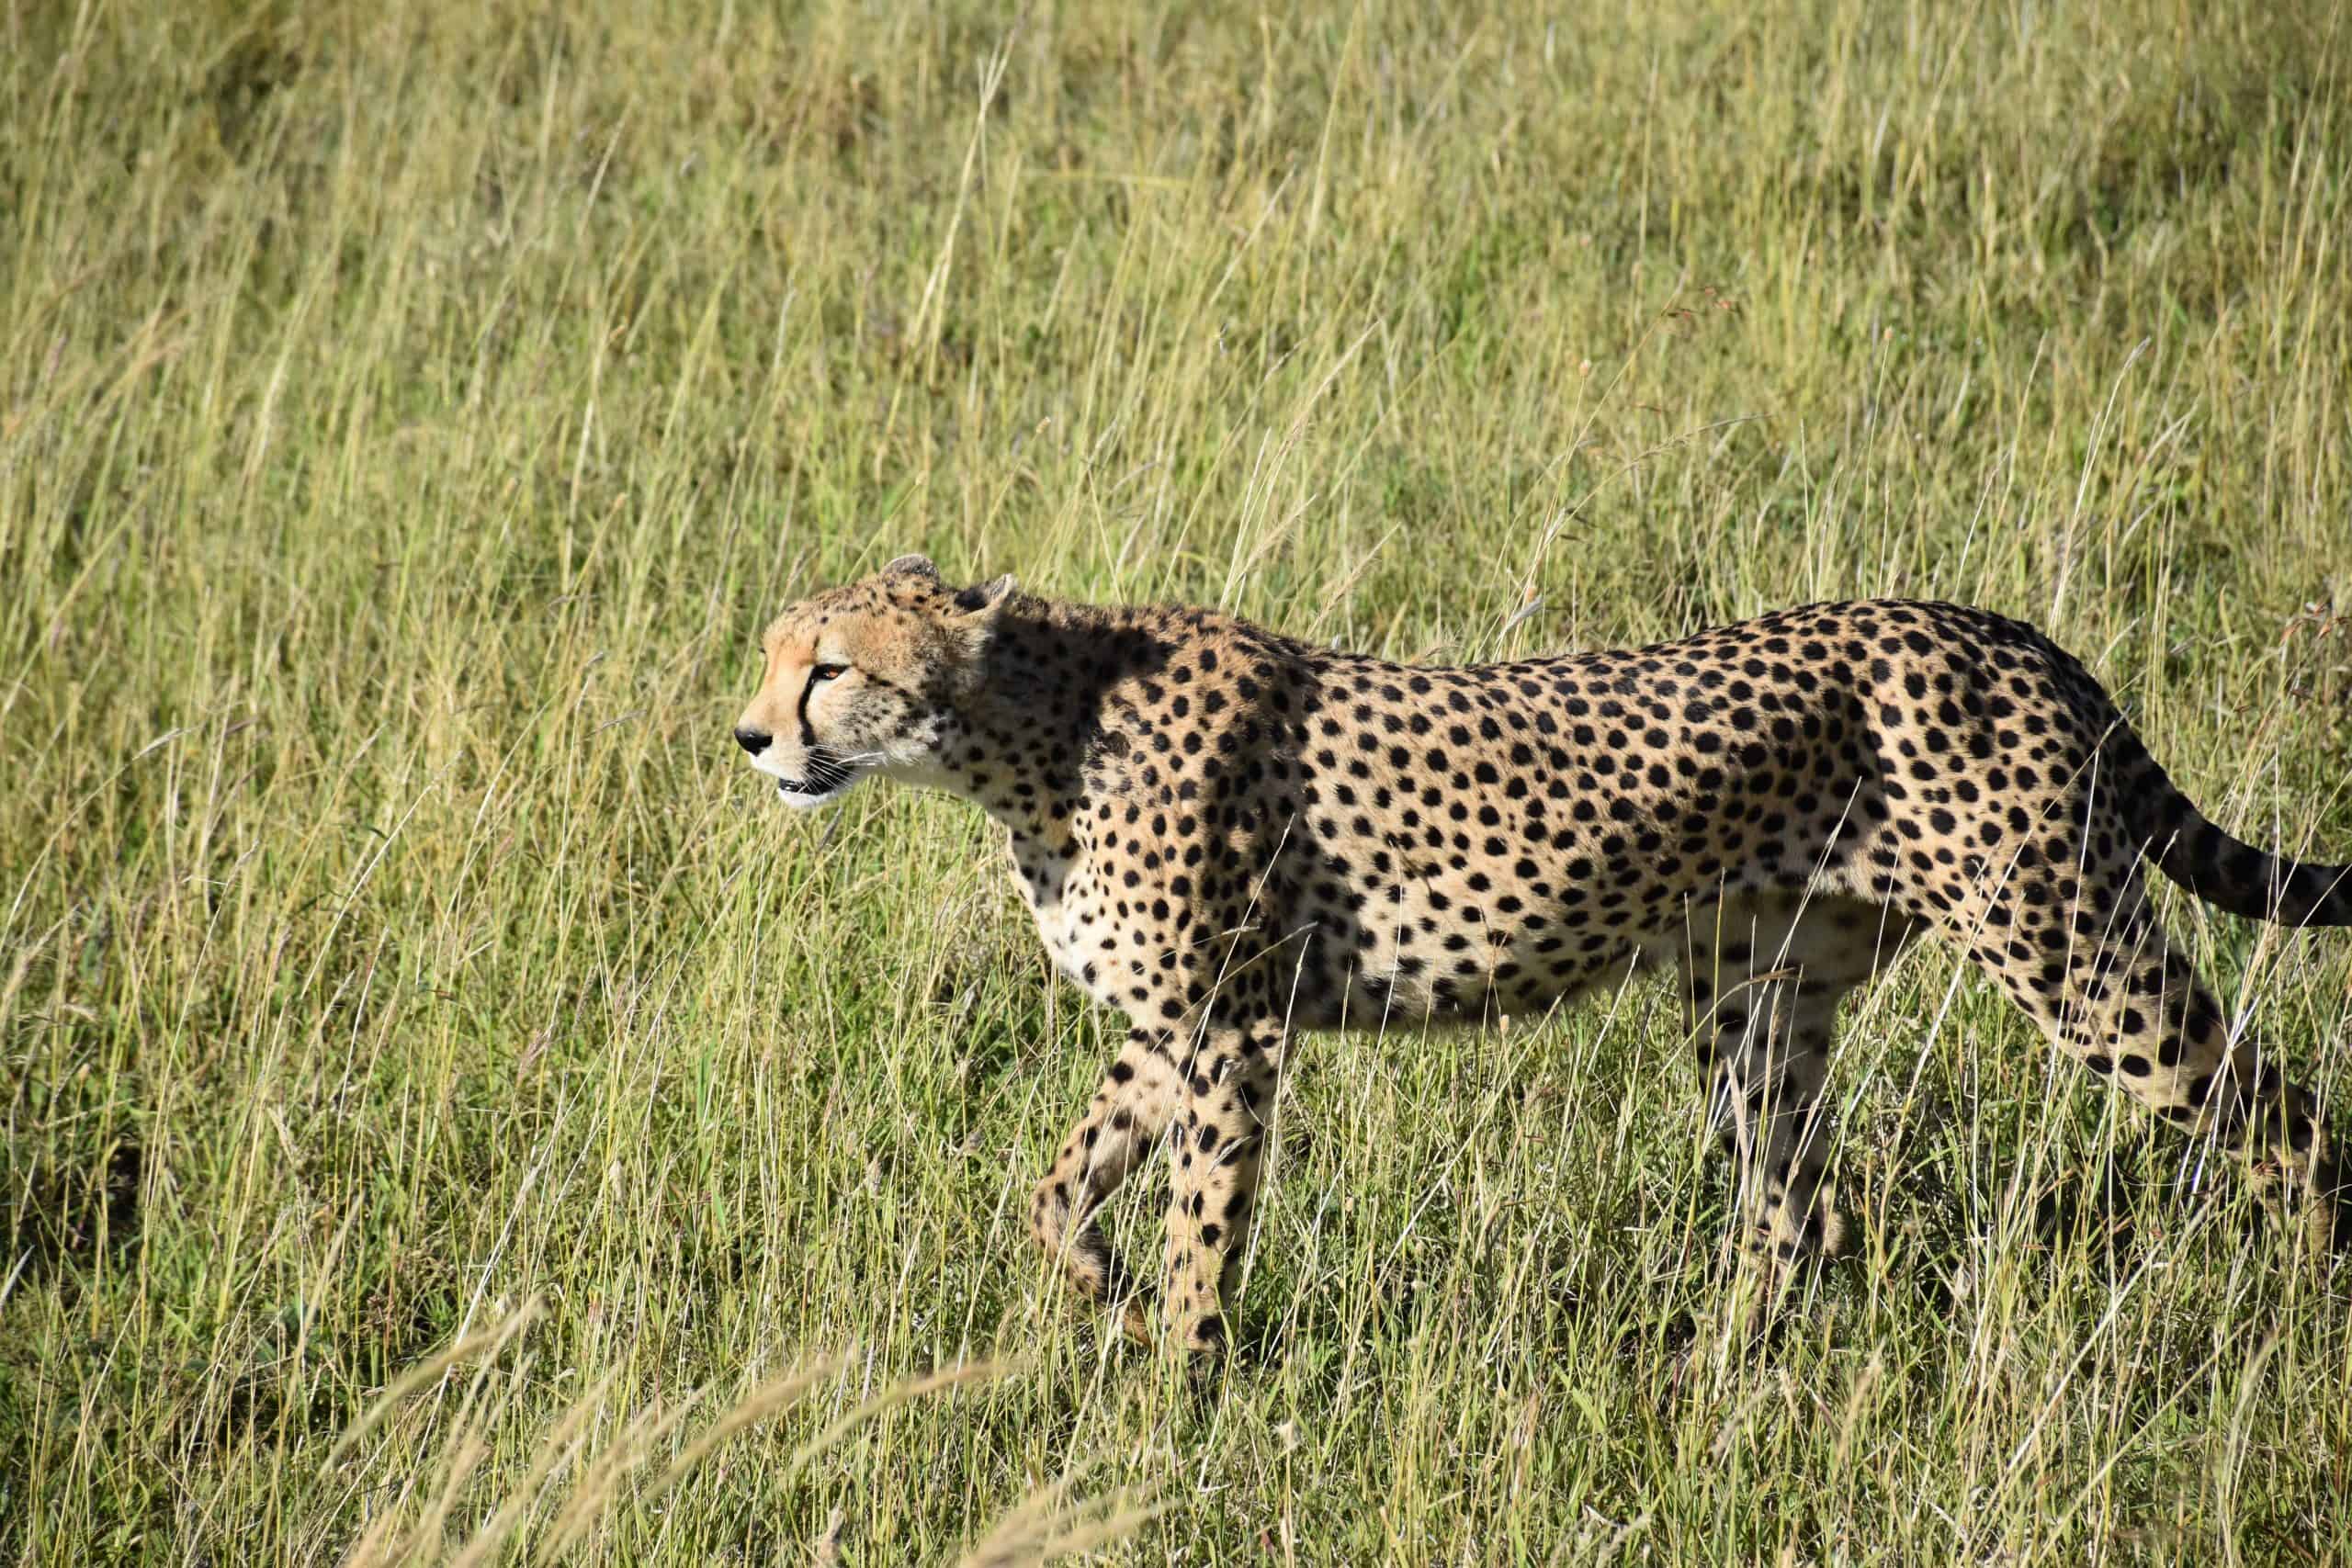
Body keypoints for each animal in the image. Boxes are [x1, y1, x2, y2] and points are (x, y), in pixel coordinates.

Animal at [734, 555, 2352, 1358]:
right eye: (771, 654)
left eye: (832, 667)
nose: (751, 735)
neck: (1038, 730)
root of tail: (2007, 629)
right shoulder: (1175, 1023)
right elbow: (1053, 1191)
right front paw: (1115, 1301)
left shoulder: (1234, 1028)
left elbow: (1204, 1223)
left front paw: (1180, 1386)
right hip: (1755, 992)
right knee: (1796, 1210)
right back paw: (1712, 1387)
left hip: (2067, 944)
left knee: (2281, 1118)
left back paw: (2304, 1307)